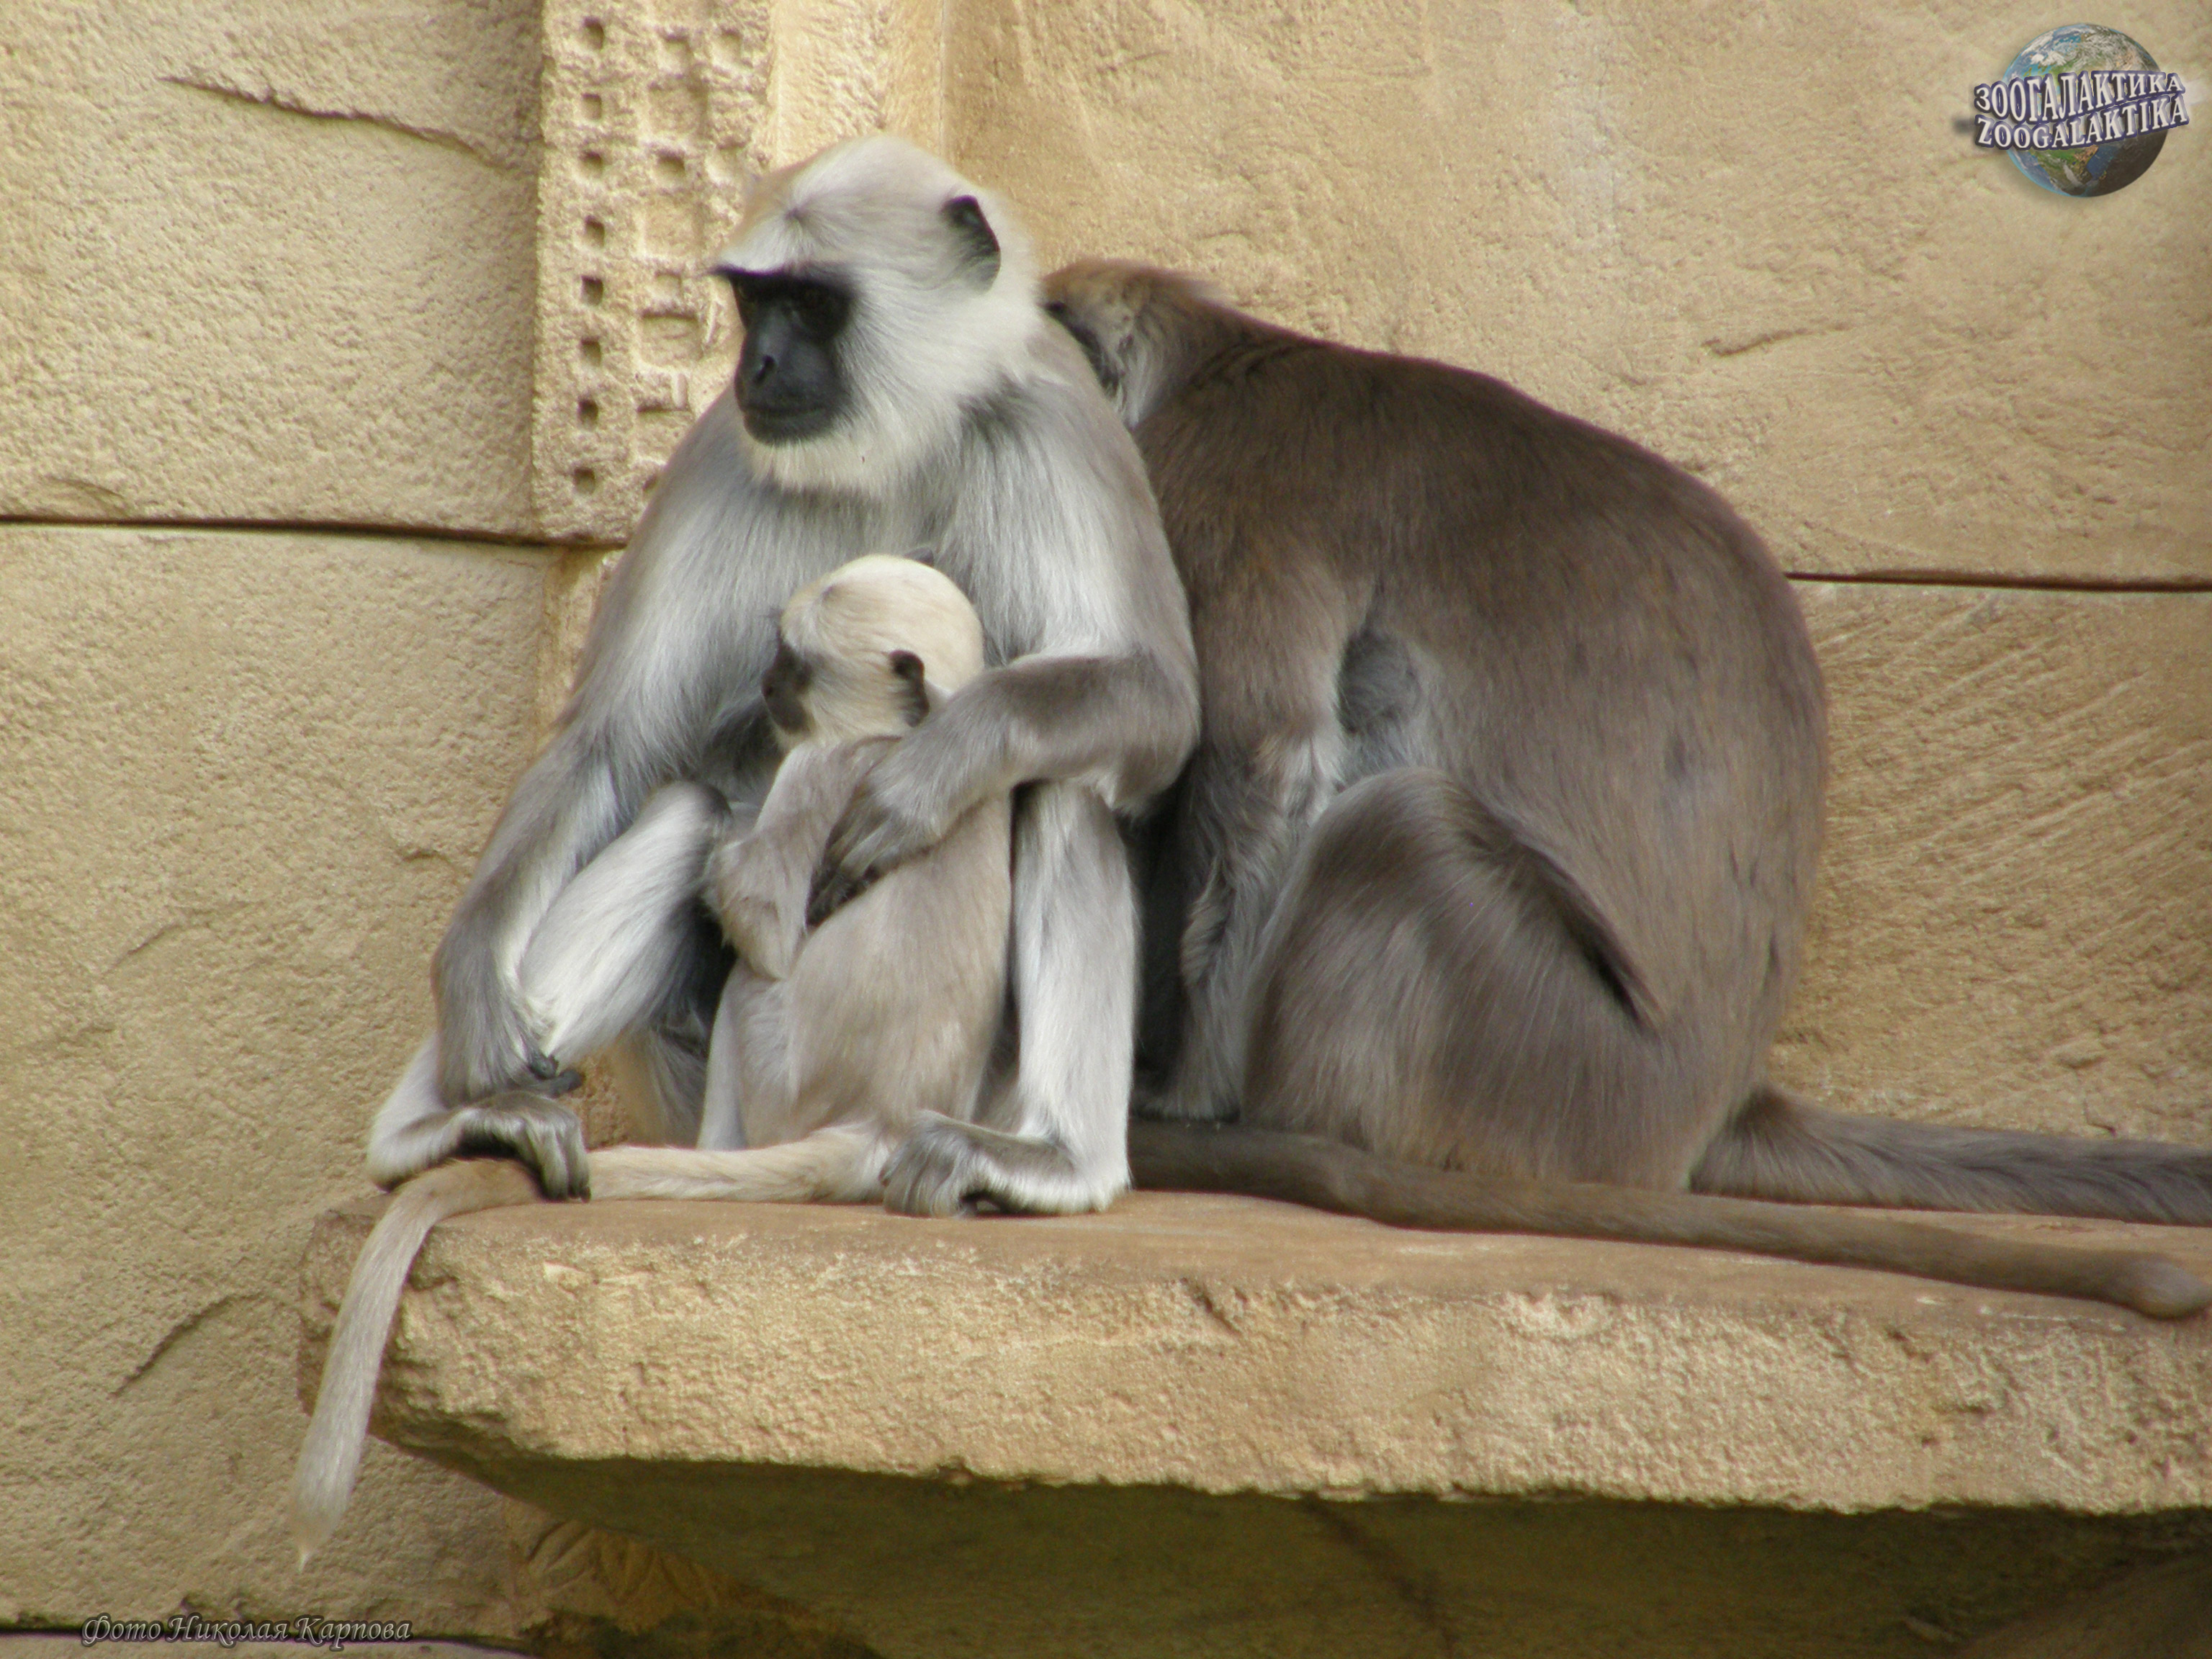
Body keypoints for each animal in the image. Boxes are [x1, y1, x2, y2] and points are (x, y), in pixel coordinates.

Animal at [293, 553, 1026, 1560]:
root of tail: (883, 1127)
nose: (764, 686)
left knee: (721, 904)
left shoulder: (826, 768)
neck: (911, 734)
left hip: (774, 1072)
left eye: (795, 663)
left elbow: (762, 917)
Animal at [1041, 259, 2212, 1318]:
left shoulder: (1217, 488)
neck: (1218, 355)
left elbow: (1270, 760)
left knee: (1397, 829)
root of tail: (1713, 1107)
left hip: (1557, 1072)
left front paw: (1183, 1096)